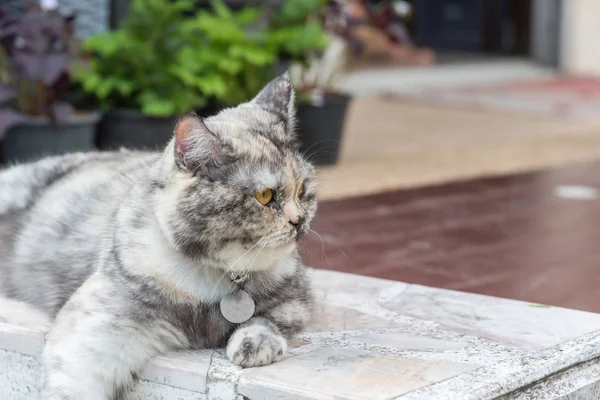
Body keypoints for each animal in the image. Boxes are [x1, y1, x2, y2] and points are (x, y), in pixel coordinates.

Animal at [0, 73, 318, 398]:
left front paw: (256, 344)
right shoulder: (96, 327)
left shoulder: (295, 300)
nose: (299, 220)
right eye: (264, 196)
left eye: (302, 190)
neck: (216, 280)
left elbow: (267, 318)